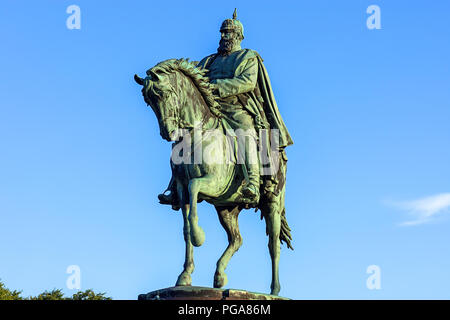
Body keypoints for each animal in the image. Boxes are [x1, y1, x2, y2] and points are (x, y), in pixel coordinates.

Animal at [134, 58, 292, 296]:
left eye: (165, 93)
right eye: (148, 100)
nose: (167, 132)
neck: (197, 134)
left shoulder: (213, 183)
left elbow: (194, 189)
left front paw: (199, 236)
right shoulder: (181, 190)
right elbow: (186, 228)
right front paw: (185, 275)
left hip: (272, 201)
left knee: (273, 244)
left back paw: (274, 290)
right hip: (227, 208)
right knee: (237, 239)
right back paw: (219, 275)